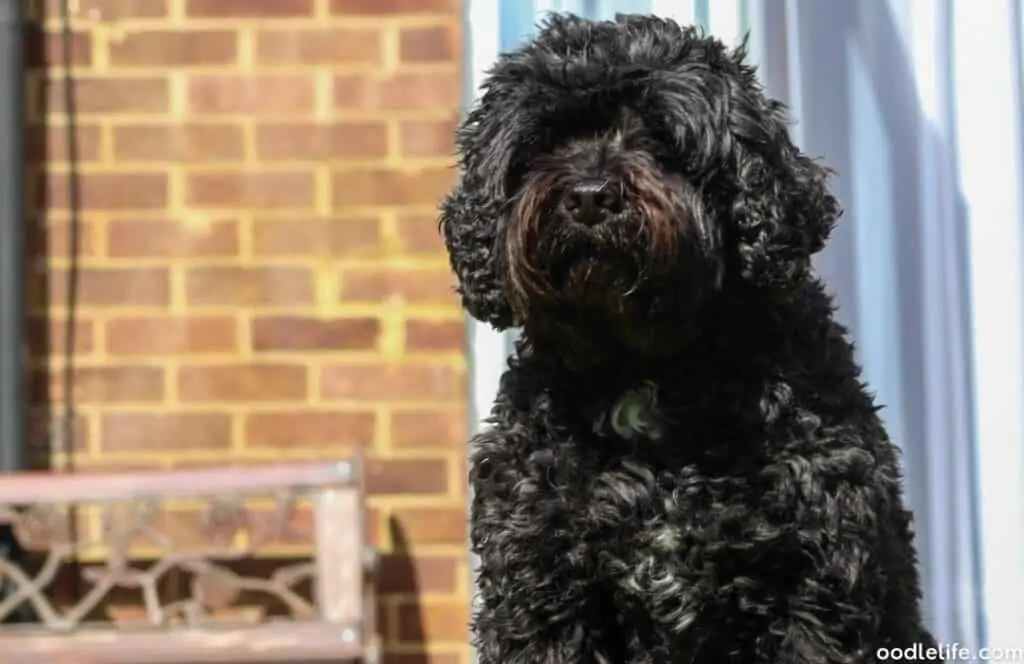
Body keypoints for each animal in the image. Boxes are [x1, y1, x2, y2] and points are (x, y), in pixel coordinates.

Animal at [438, 12, 937, 659]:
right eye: (544, 141)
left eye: (660, 137)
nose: (591, 197)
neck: (641, 368)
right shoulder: (538, 592)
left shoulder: (819, 589)